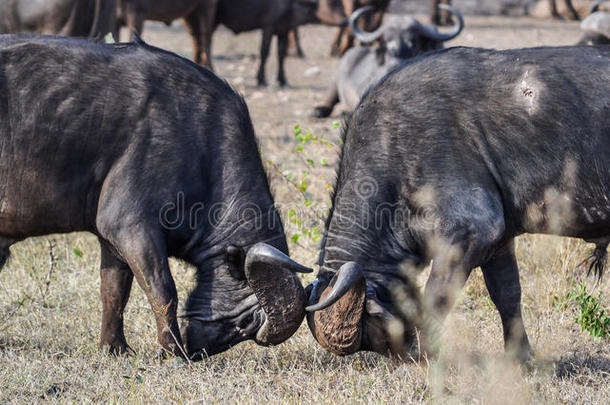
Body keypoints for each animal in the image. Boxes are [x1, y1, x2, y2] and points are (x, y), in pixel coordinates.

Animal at [0, 34, 308, 356]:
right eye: (247, 321)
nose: (198, 349)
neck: (203, 149)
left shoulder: (112, 241)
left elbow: (114, 290)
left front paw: (114, 347)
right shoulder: (131, 228)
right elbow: (162, 289)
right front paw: (173, 350)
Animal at [306, 45, 604, 360]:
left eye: (378, 333)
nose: (401, 350)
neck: (395, 149)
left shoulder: (470, 233)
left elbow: (436, 295)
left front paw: (425, 353)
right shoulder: (498, 242)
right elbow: (507, 294)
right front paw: (520, 356)